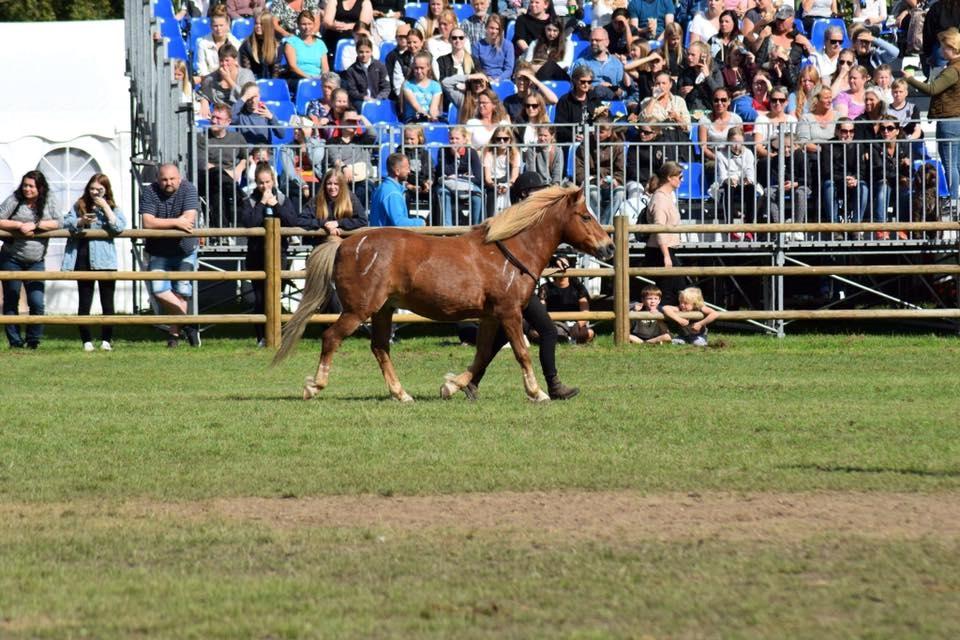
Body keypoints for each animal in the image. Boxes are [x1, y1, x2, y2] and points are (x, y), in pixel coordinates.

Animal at [272, 185, 616, 402]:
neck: (509, 252)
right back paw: (314, 387)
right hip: (359, 310)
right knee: (331, 338)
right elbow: (522, 352)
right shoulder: (509, 313)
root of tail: (344, 244)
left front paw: (453, 386)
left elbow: (482, 354)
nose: (609, 247)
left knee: (380, 347)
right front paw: (538, 392)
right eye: (586, 216)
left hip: (383, 310)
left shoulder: (491, 316)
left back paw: (402, 394)